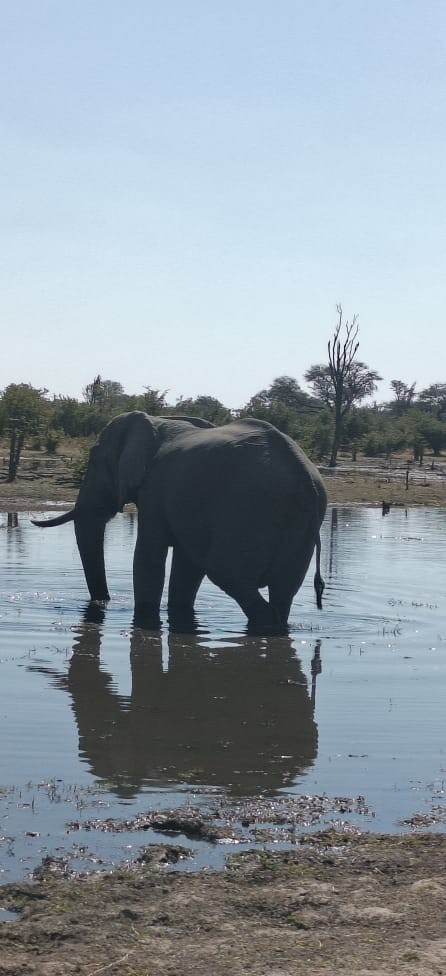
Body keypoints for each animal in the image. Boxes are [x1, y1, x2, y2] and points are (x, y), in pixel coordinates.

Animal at [33, 411, 327, 631]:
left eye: (94, 461)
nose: (102, 603)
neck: (156, 421)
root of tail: (306, 480)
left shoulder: (155, 488)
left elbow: (149, 558)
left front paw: (145, 619)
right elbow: (187, 566)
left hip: (249, 513)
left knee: (226, 574)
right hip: (299, 525)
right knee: (283, 590)